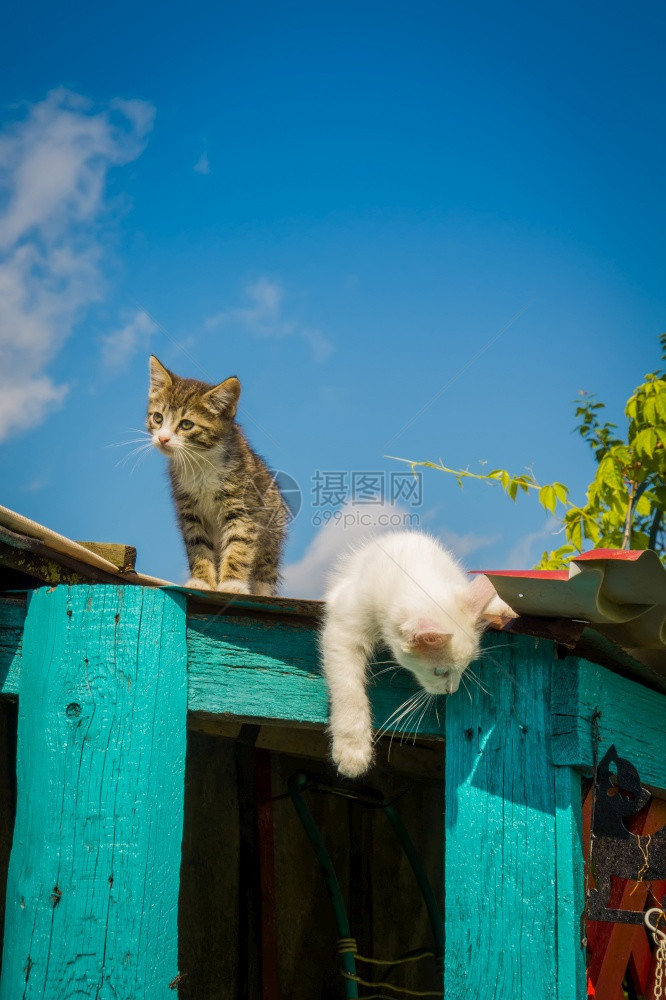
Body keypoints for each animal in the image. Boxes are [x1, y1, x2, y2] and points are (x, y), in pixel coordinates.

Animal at [147, 356, 286, 592]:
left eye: (186, 424)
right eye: (158, 418)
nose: (163, 438)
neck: (200, 461)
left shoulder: (243, 506)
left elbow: (239, 544)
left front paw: (232, 584)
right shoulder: (188, 510)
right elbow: (197, 545)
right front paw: (202, 582)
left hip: (273, 530)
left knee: (265, 570)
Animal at [320, 528, 506, 776]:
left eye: (465, 667)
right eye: (439, 671)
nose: (452, 690)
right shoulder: (343, 629)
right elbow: (348, 689)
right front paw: (353, 749)